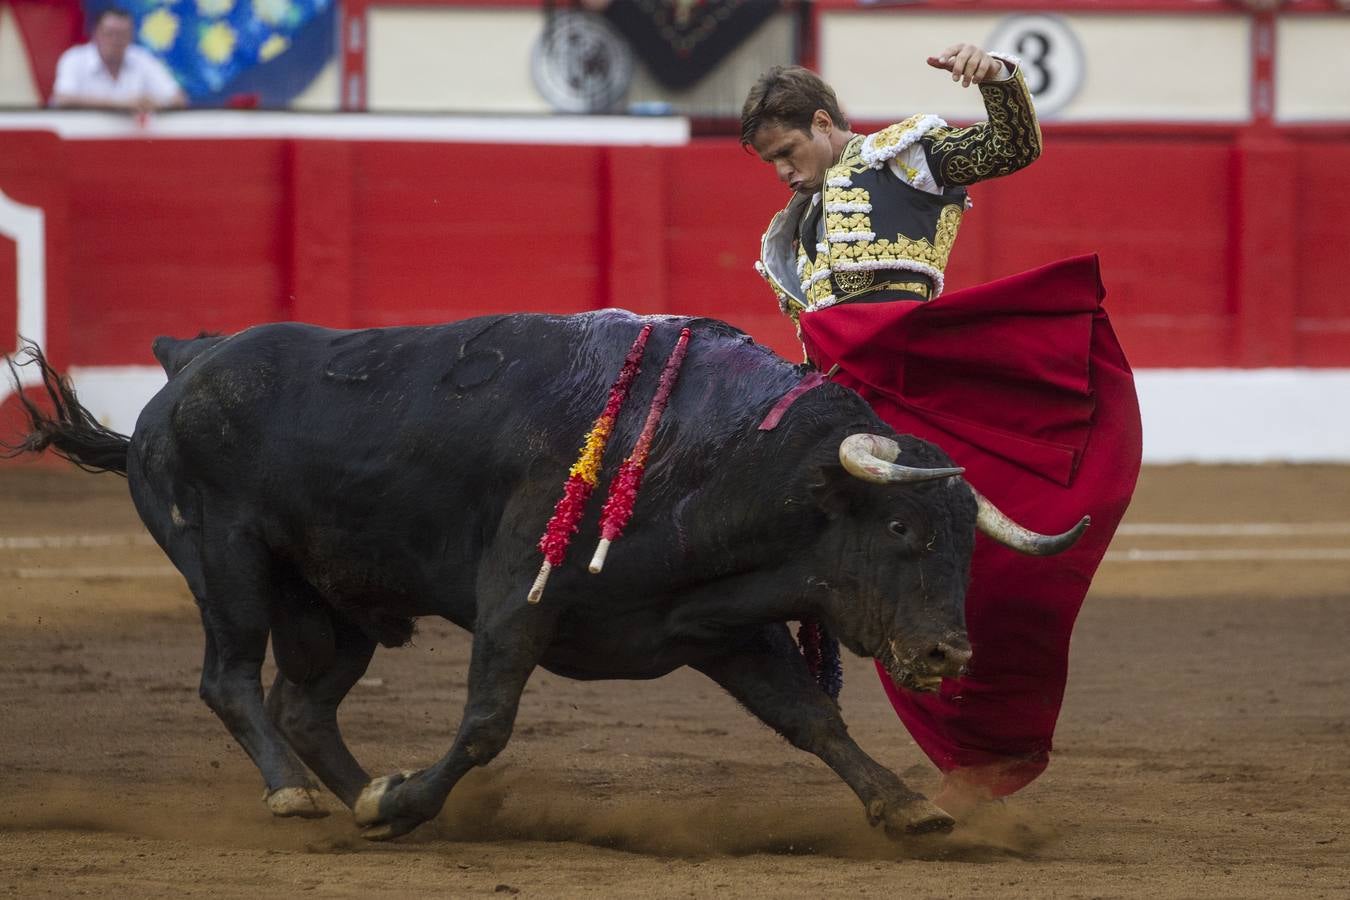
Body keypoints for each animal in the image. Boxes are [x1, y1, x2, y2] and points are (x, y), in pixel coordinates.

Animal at [2, 311, 1085, 847]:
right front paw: (408, 796)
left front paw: (910, 808)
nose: (948, 653)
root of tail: (184, 367)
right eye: (901, 525)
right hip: (224, 562)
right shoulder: (517, 598)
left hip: (343, 604)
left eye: (966, 542)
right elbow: (488, 721)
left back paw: (369, 800)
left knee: (302, 704)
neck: (712, 455)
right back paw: (306, 801)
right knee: (229, 679)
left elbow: (813, 721)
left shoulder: (720, 627)